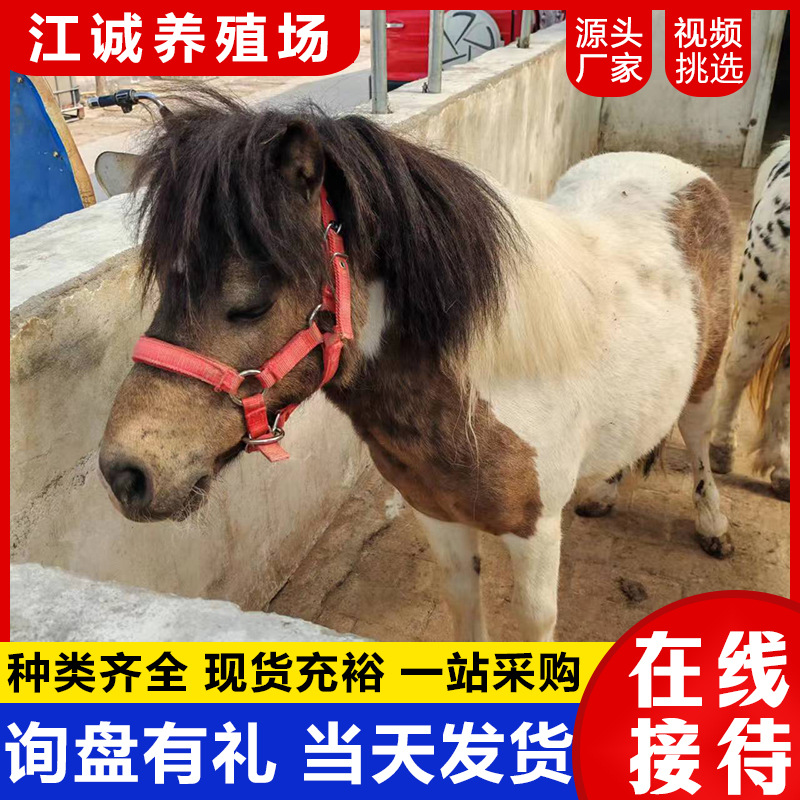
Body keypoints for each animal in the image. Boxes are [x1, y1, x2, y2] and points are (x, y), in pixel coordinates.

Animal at [99, 93, 733, 642]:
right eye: (165, 288)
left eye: (251, 303)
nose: (125, 472)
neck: (476, 387)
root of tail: (685, 172)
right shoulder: (438, 517)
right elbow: (464, 610)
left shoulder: (536, 536)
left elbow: (535, 625)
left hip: (706, 381)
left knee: (697, 439)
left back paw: (714, 527)